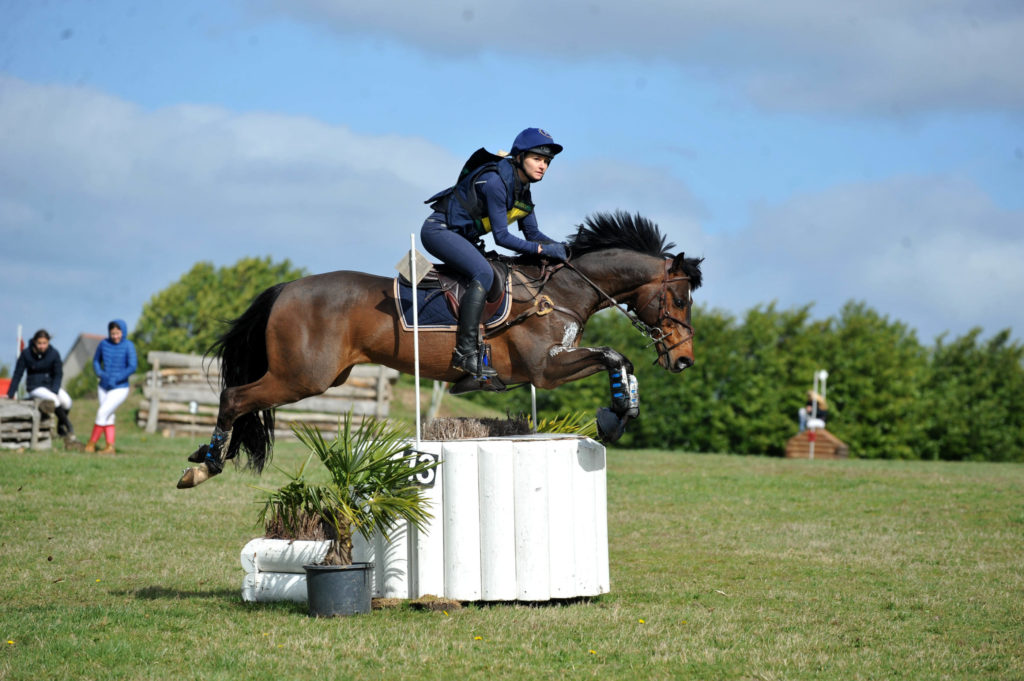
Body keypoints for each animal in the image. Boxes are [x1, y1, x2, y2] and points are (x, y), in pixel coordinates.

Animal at [178, 209, 704, 485]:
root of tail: (286, 287)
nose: (684, 360)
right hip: (302, 377)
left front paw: (619, 413)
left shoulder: (550, 369)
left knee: (240, 401)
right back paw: (205, 466)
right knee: (234, 398)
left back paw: (206, 458)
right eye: (679, 299)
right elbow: (615, 355)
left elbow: (620, 360)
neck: (561, 290)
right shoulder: (544, 371)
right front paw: (615, 416)